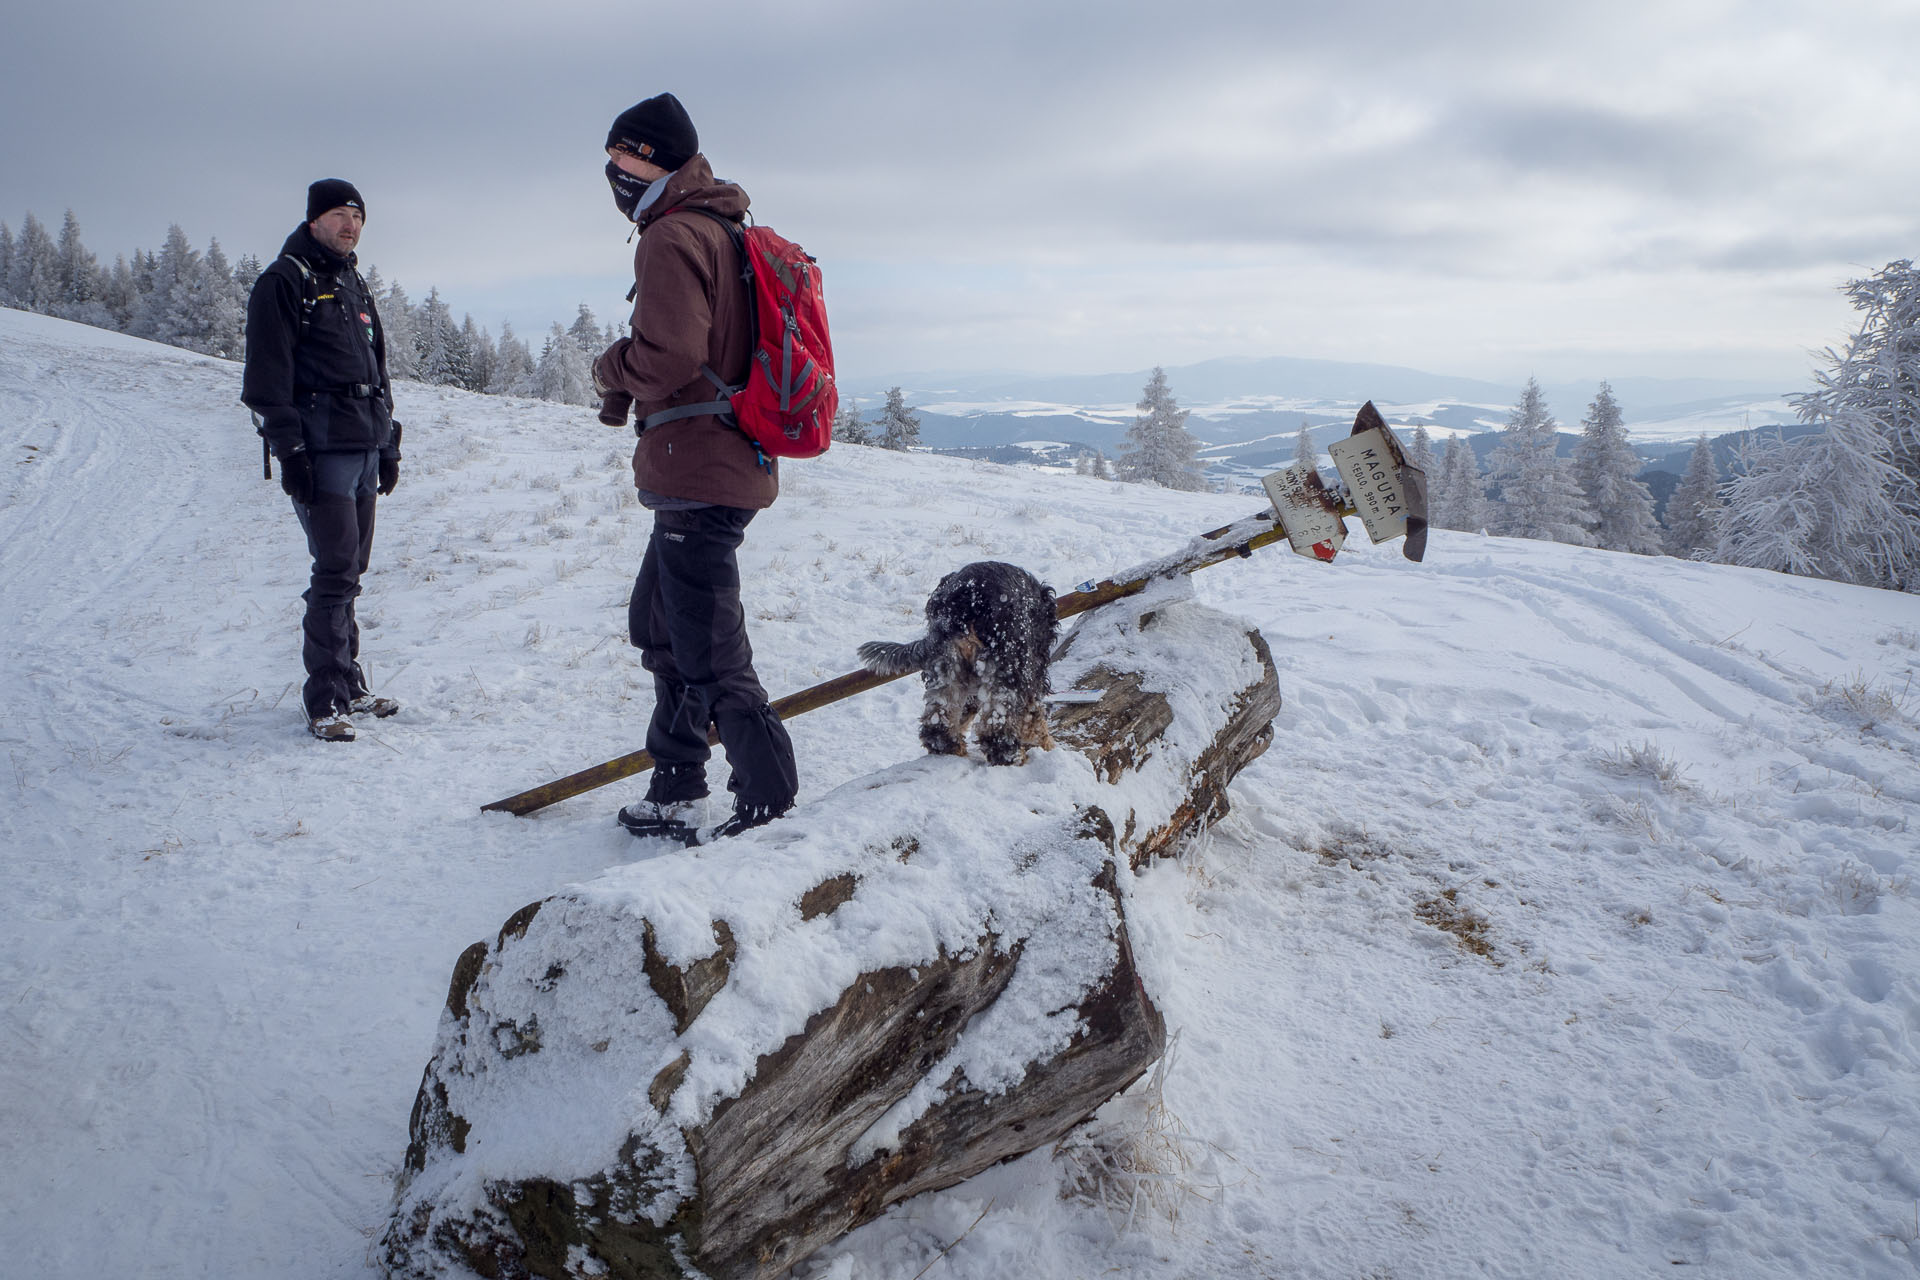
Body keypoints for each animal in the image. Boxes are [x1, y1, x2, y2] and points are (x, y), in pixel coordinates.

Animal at [860, 556, 1059, 759]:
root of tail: (962, 602)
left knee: (938, 720)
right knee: (998, 723)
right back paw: (1010, 754)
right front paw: (1047, 745)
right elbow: (1033, 714)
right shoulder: (1030, 670)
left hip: (946, 664)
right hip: (1007, 664)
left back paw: (950, 746)